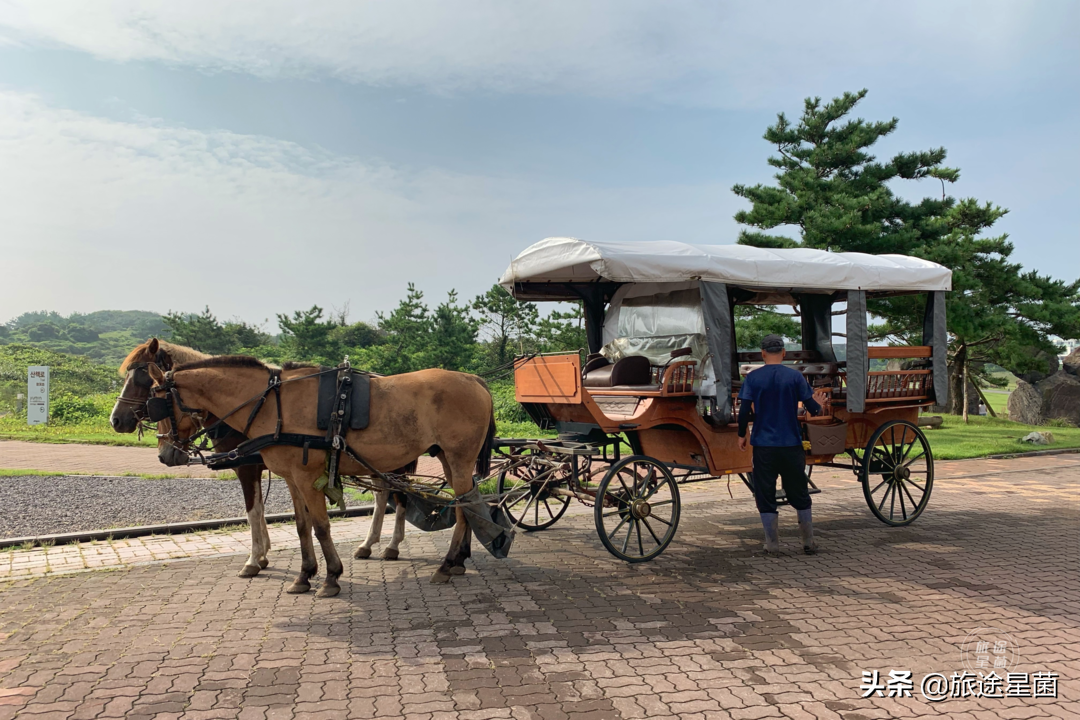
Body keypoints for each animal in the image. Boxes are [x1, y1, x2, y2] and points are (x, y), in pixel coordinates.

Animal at [146, 356, 494, 595]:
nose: (164, 454)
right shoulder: (291, 478)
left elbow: (321, 526)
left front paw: (330, 577)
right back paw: (457, 561)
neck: (273, 403)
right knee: (466, 506)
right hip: (446, 458)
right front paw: (304, 575)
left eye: (155, 403)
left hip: (458, 459)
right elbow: (302, 527)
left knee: (461, 509)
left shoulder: (304, 475)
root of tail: (474, 379)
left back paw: (446, 564)